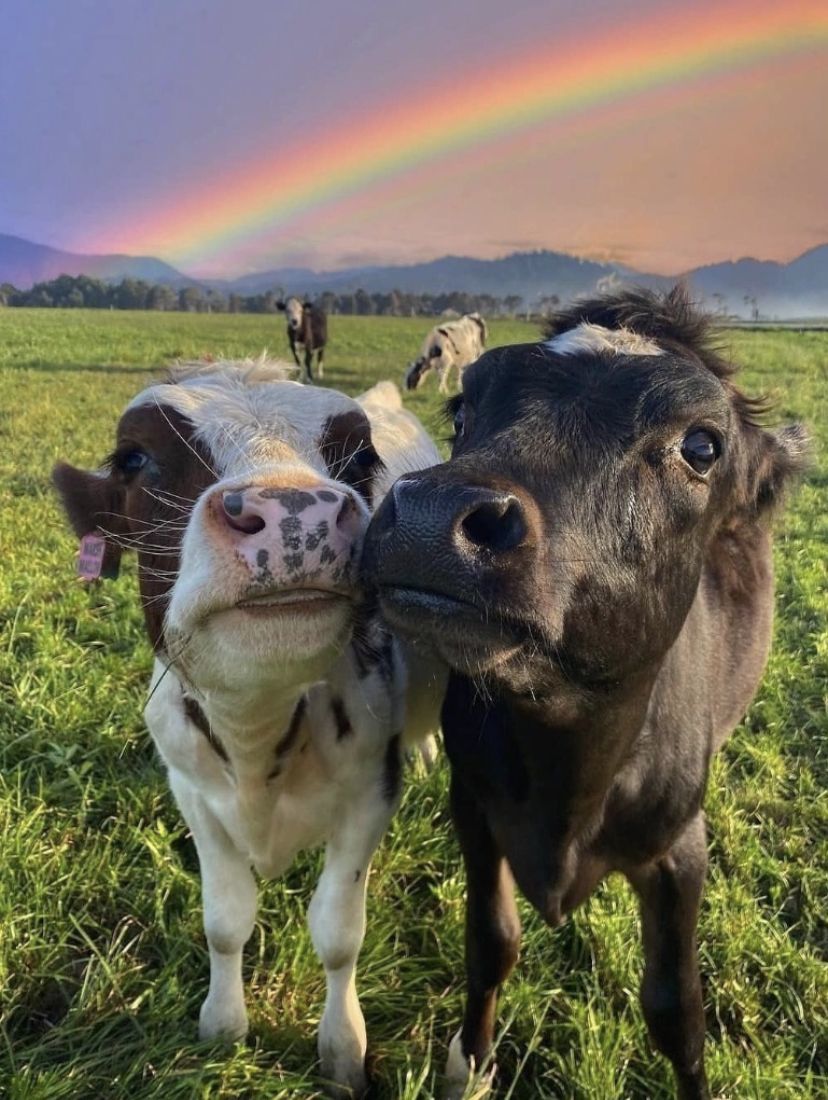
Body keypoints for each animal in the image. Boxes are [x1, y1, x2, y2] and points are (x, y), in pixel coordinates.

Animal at [52, 358, 446, 1091]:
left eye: (360, 457)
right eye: (134, 457)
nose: (297, 513)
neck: (258, 738)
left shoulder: (371, 793)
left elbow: (338, 934)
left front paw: (342, 1047)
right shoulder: (193, 794)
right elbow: (225, 921)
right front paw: (223, 1025)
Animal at [362, 290, 809, 1100]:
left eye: (702, 447)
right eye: (464, 410)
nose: (432, 515)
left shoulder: (678, 851)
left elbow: (676, 1009)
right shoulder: (476, 808)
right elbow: (492, 942)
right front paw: (472, 1060)